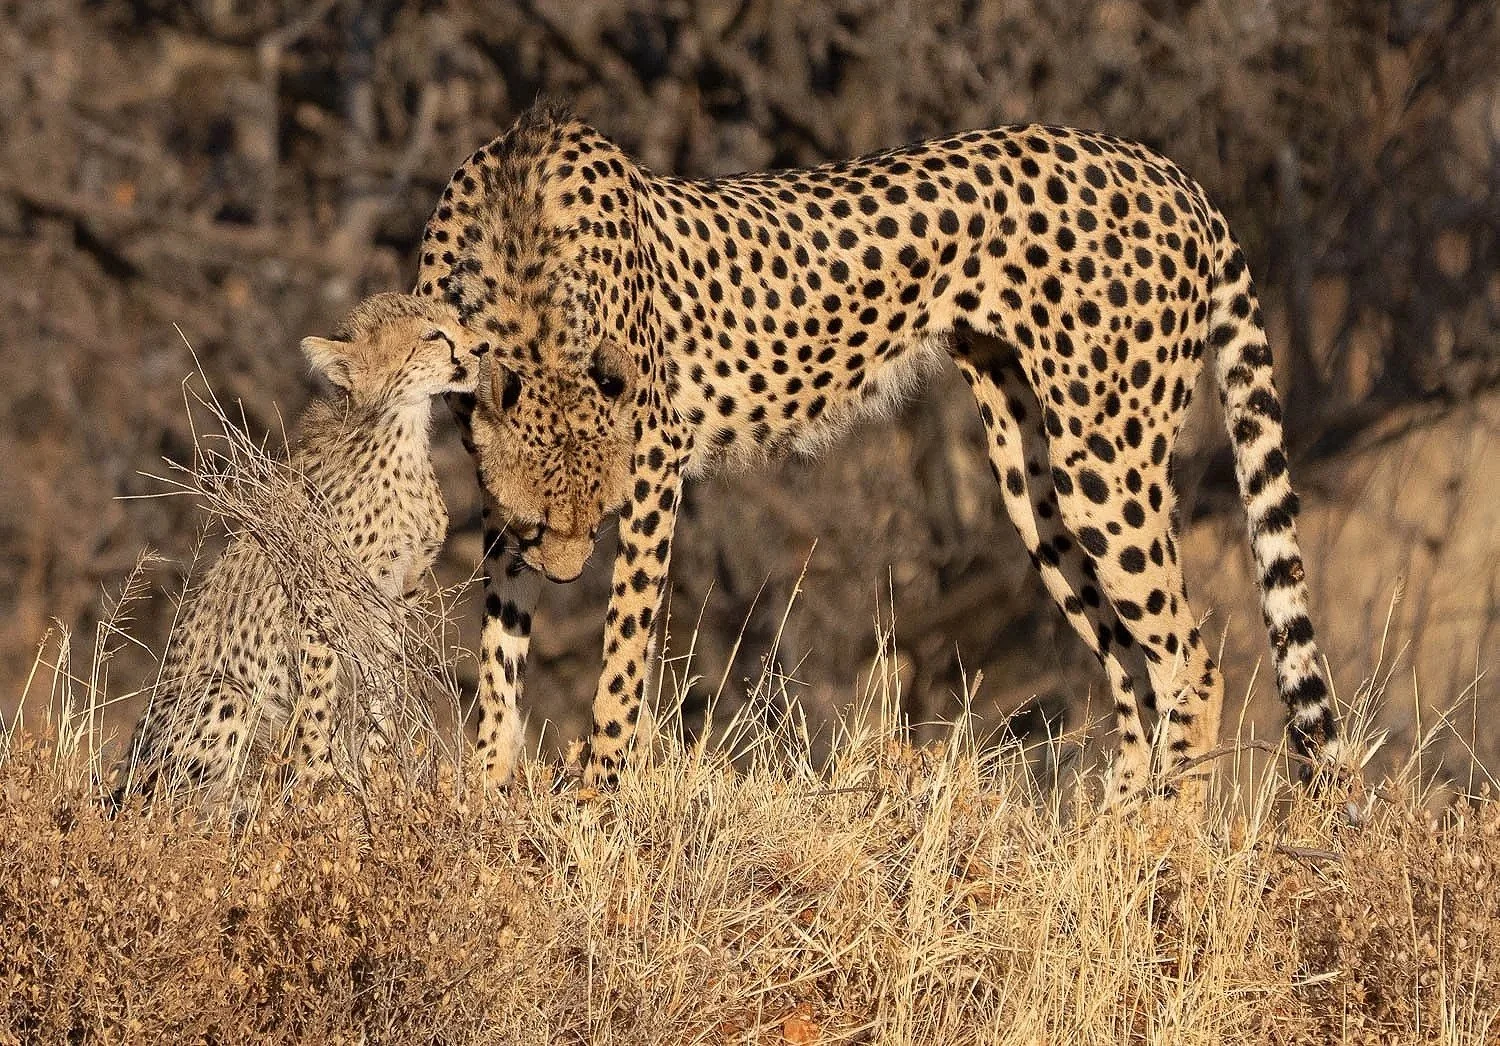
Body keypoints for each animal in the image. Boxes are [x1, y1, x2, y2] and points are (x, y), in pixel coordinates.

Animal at [109, 292, 490, 808]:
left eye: (458, 320)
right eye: (433, 335)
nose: (483, 347)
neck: (398, 434)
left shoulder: (396, 601)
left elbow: (384, 686)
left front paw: (378, 770)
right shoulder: (318, 596)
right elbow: (320, 688)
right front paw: (317, 778)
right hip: (223, 696)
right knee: (183, 803)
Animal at [416, 103, 1342, 802]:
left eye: (597, 516)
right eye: (536, 526)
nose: (566, 573)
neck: (519, 259)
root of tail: (1167, 170)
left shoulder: (653, 468)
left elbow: (622, 645)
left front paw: (599, 793)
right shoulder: (493, 488)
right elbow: (499, 639)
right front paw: (487, 781)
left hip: (1103, 462)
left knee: (1192, 661)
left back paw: (1163, 844)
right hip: (1031, 476)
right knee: (1131, 663)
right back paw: (1105, 841)